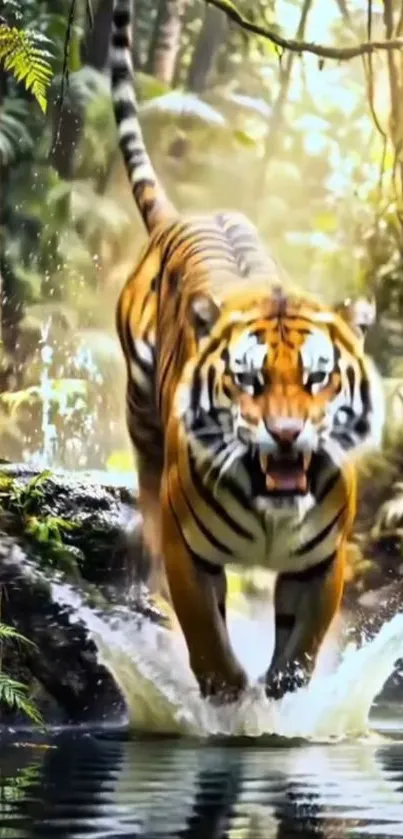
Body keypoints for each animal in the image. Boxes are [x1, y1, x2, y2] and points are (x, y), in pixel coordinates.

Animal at [110, 0, 385, 701]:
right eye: (248, 380)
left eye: (319, 378)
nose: (286, 435)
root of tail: (184, 216)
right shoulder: (192, 554)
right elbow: (207, 636)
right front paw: (229, 695)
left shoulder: (322, 564)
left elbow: (301, 646)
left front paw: (282, 689)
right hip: (140, 409)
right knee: (146, 485)